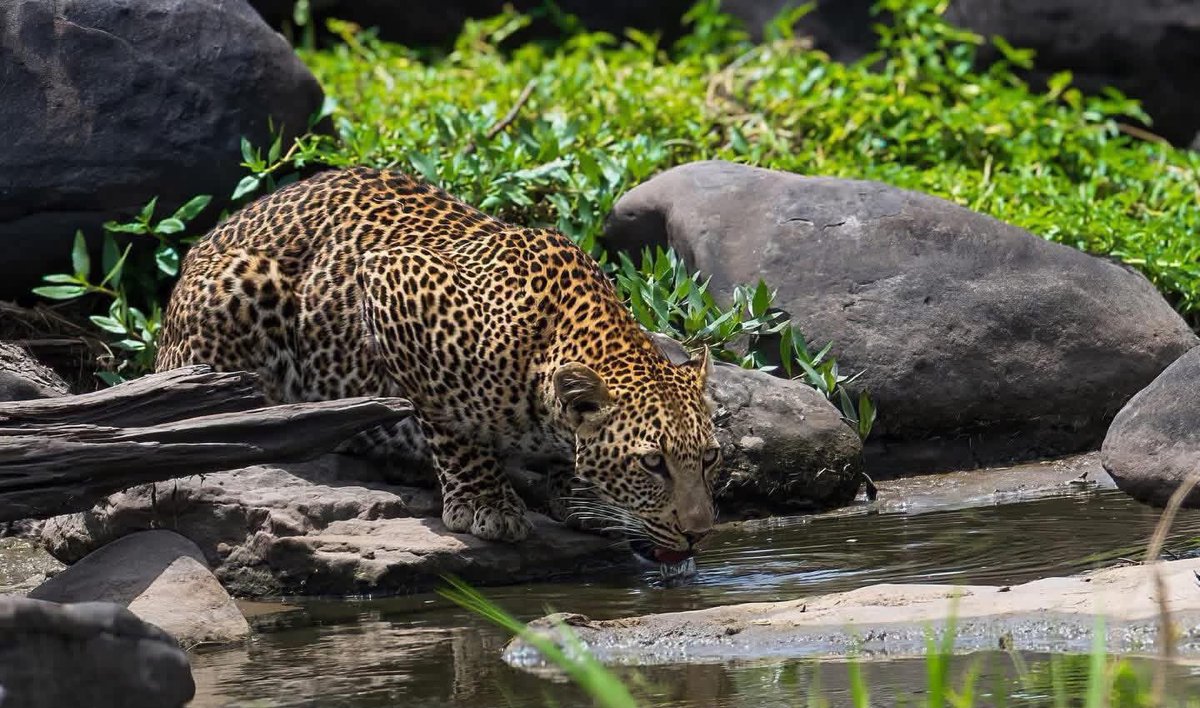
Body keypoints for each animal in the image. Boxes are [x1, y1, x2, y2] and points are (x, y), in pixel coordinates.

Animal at [156, 166, 721, 562]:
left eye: (710, 458)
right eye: (652, 463)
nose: (700, 534)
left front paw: (578, 496)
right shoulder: (389, 281)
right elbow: (449, 422)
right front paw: (486, 503)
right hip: (241, 288)